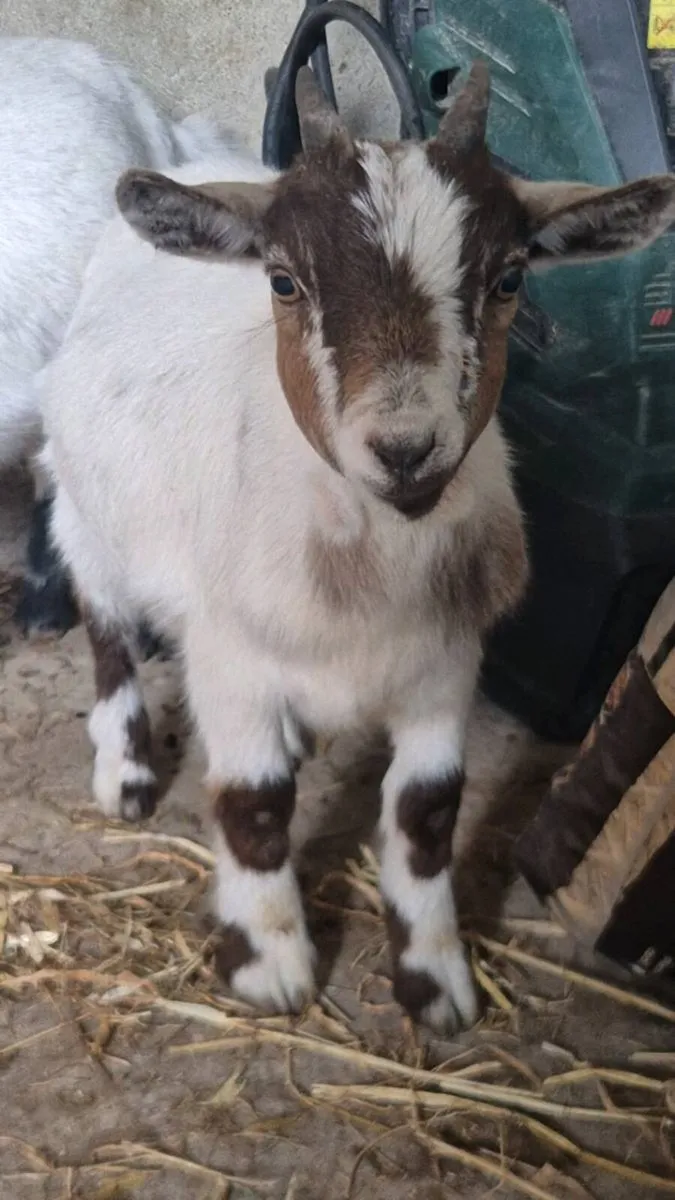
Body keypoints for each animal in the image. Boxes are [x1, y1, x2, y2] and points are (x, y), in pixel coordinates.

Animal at [41, 64, 675, 1031]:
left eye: (509, 278)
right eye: (282, 281)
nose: (406, 449)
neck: (371, 564)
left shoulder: (444, 661)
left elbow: (427, 811)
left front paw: (435, 981)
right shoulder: (228, 654)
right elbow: (254, 803)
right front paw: (270, 964)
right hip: (87, 506)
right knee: (104, 621)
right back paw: (127, 771)